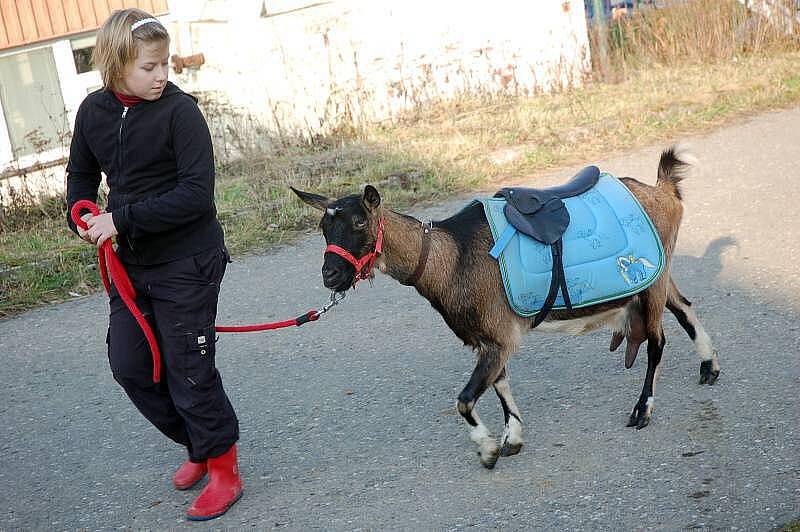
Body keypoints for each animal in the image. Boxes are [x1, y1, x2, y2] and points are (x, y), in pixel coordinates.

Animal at [292, 148, 720, 468]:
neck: (452, 256)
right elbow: (500, 383)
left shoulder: (498, 335)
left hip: (652, 283)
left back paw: (642, 410)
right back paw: (709, 367)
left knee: (657, 342)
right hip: (659, 274)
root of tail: (662, 192)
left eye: (360, 222)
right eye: (323, 228)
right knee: (684, 307)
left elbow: (465, 399)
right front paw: (512, 437)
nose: (330, 275)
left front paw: (488, 449)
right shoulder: (489, 339)